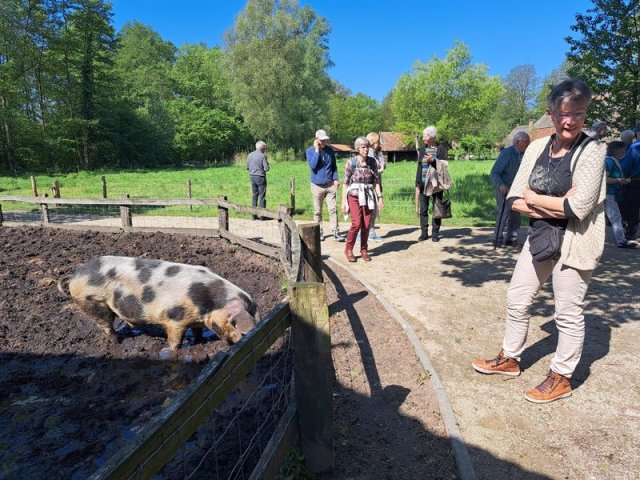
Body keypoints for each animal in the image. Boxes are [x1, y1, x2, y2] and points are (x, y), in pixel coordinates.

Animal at [57, 256, 262, 350]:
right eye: (239, 329)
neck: (208, 304)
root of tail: (75, 275)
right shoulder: (174, 319)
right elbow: (175, 340)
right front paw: (172, 349)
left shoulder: (196, 319)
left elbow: (197, 332)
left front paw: (199, 342)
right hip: (93, 302)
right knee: (106, 326)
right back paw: (117, 344)